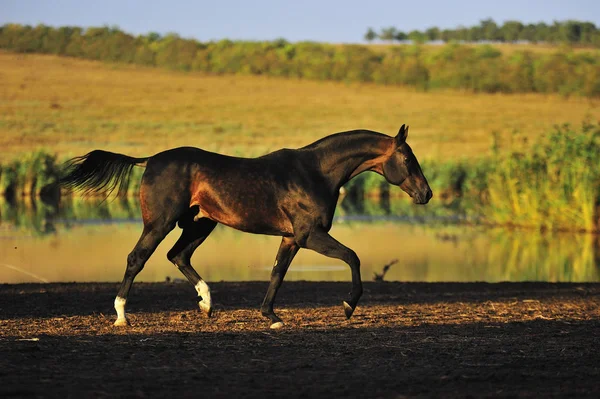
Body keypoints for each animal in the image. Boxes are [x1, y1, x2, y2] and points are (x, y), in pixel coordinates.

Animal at [62, 124, 432, 328]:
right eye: (407, 158)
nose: (426, 193)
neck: (316, 172)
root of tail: (150, 159)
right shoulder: (309, 234)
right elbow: (352, 257)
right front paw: (348, 306)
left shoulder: (291, 238)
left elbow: (277, 273)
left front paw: (272, 316)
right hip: (161, 222)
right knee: (137, 258)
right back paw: (121, 315)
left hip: (200, 224)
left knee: (178, 256)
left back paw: (207, 304)